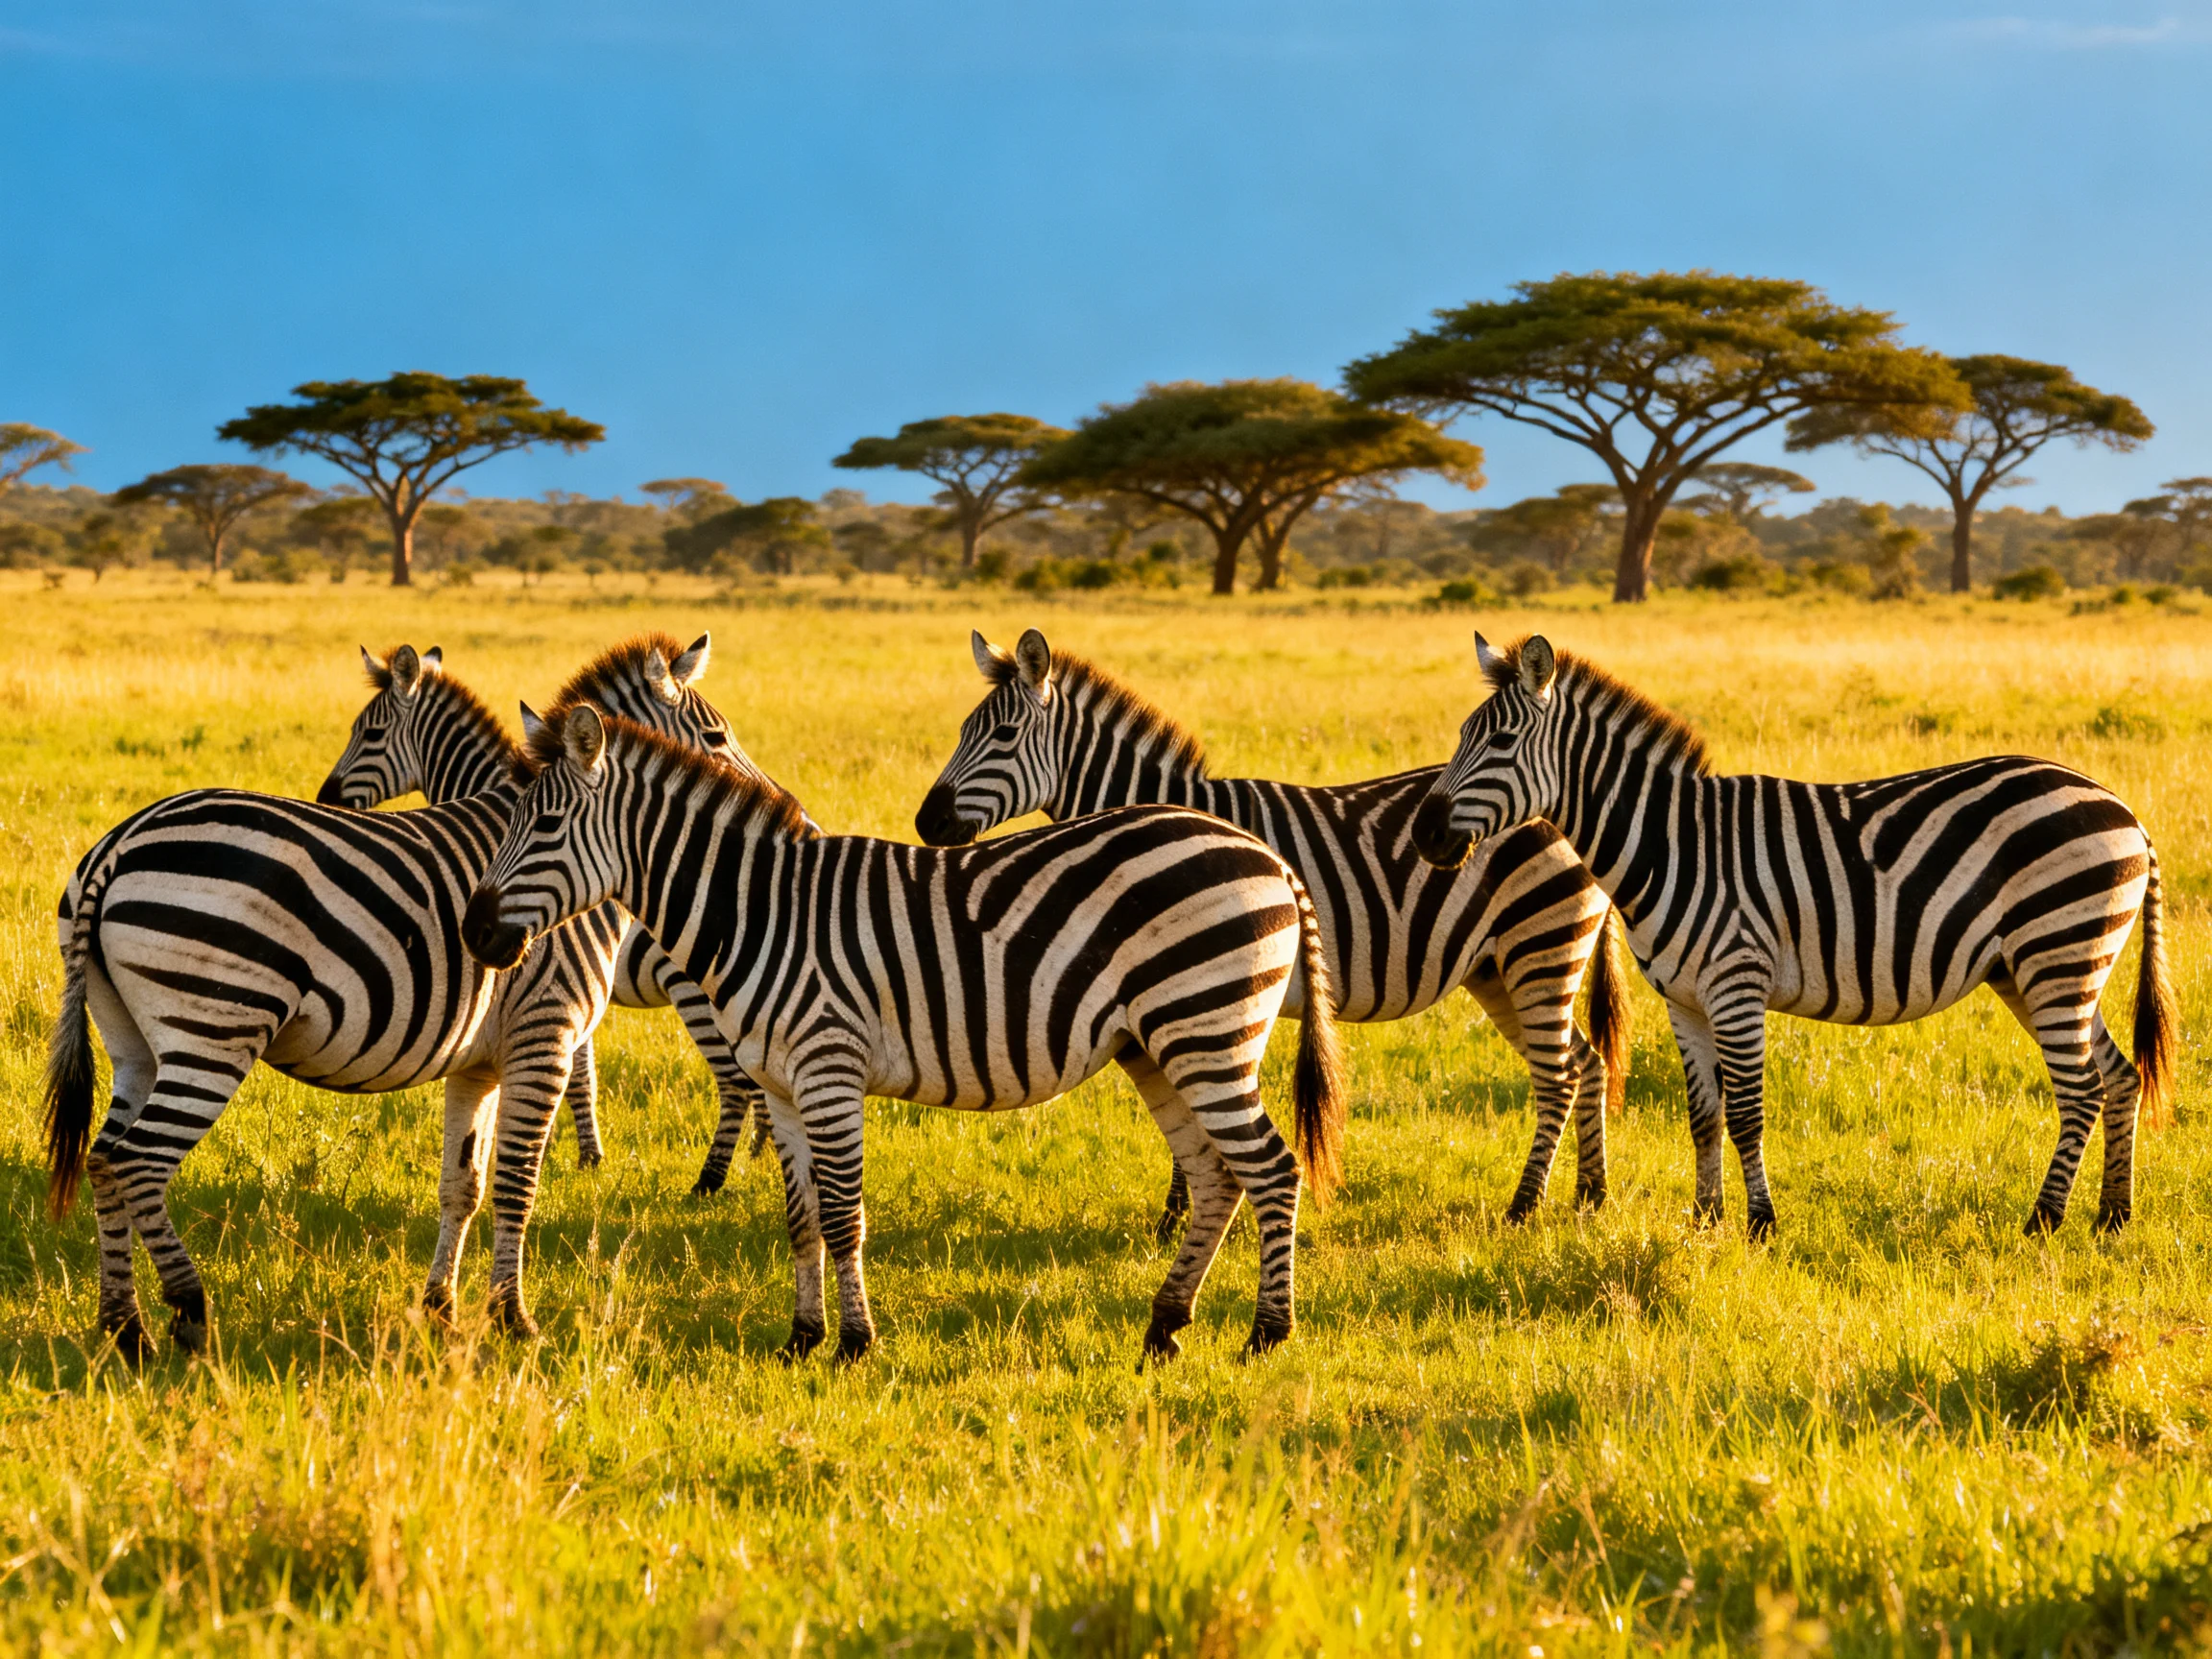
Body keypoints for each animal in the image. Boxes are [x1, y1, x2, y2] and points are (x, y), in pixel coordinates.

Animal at [316, 632, 774, 1195]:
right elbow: (583, 1072)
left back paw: (712, 1179)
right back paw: (761, 1153)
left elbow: (571, 1074)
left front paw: (568, 1152)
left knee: (736, 1079)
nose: (325, 797)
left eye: (371, 733)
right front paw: (580, 1151)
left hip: (694, 992)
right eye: (716, 736)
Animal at [460, 704, 1348, 1363]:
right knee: (1216, 1176)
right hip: (1157, 1046)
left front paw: (855, 1344)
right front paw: (800, 1340)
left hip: (1208, 1031)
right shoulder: (781, 1085)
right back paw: (1164, 1327)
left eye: (545, 827)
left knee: (1272, 1170)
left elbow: (843, 1213)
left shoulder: (828, 1066)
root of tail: (1267, 854)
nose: (474, 933)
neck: (759, 912)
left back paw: (1265, 1337)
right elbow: (801, 1218)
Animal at [913, 628, 1626, 1225]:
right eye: (963, 730)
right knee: (1585, 1062)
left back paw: (1525, 1207)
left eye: (1003, 736)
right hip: (1497, 967)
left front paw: (1179, 1216)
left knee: (1559, 1074)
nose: (927, 823)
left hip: (1540, 946)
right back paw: (1590, 1195)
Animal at [1410, 632, 2175, 1239]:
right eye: (1460, 737)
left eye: (1501, 742)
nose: (1423, 834)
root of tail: (2127, 812)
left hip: (2058, 954)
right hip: (2041, 967)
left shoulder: (1736, 984)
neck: (1671, 843)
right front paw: (1705, 1220)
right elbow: (1703, 1114)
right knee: (2120, 1075)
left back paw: (2043, 1222)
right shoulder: (1684, 1001)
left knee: (2082, 1087)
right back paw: (2113, 1216)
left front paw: (1760, 1224)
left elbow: (1747, 1113)